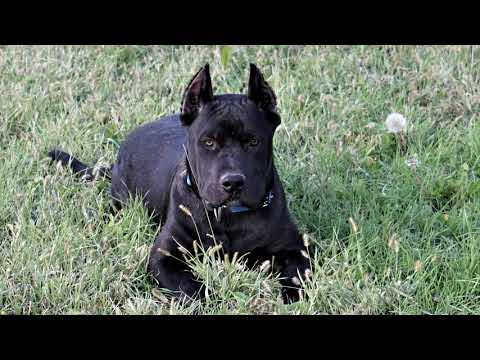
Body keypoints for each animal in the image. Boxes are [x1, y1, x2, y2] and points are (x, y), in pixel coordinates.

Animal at [49, 63, 312, 302]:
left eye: (253, 142)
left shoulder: (294, 247)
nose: (233, 182)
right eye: (208, 142)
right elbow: (189, 287)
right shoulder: (165, 256)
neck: (229, 218)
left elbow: (297, 275)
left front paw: (292, 297)